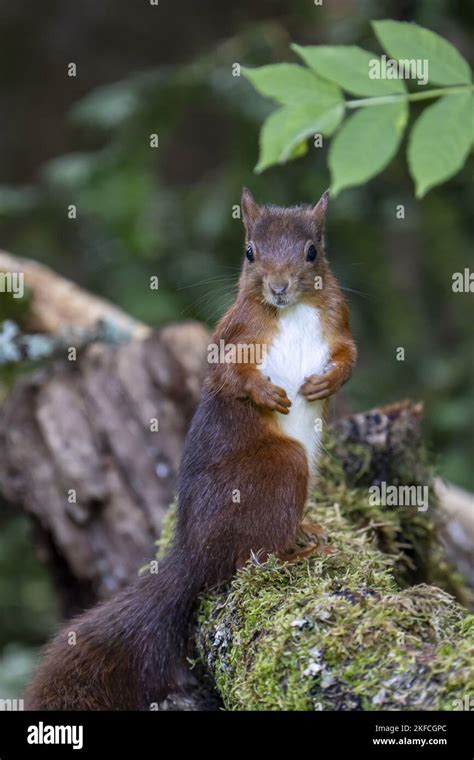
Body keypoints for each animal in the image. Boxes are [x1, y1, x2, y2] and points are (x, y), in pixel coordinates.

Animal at [25, 187, 356, 708]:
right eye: (249, 252)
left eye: (312, 252)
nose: (279, 287)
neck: (292, 312)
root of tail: (192, 555)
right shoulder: (232, 332)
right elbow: (224, 374)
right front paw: (265, 395)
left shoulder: (337, 320)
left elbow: (349, 355)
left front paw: (328, 381)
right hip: (282, 465)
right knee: (245, 562)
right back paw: (293, 553)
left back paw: (307, 529)